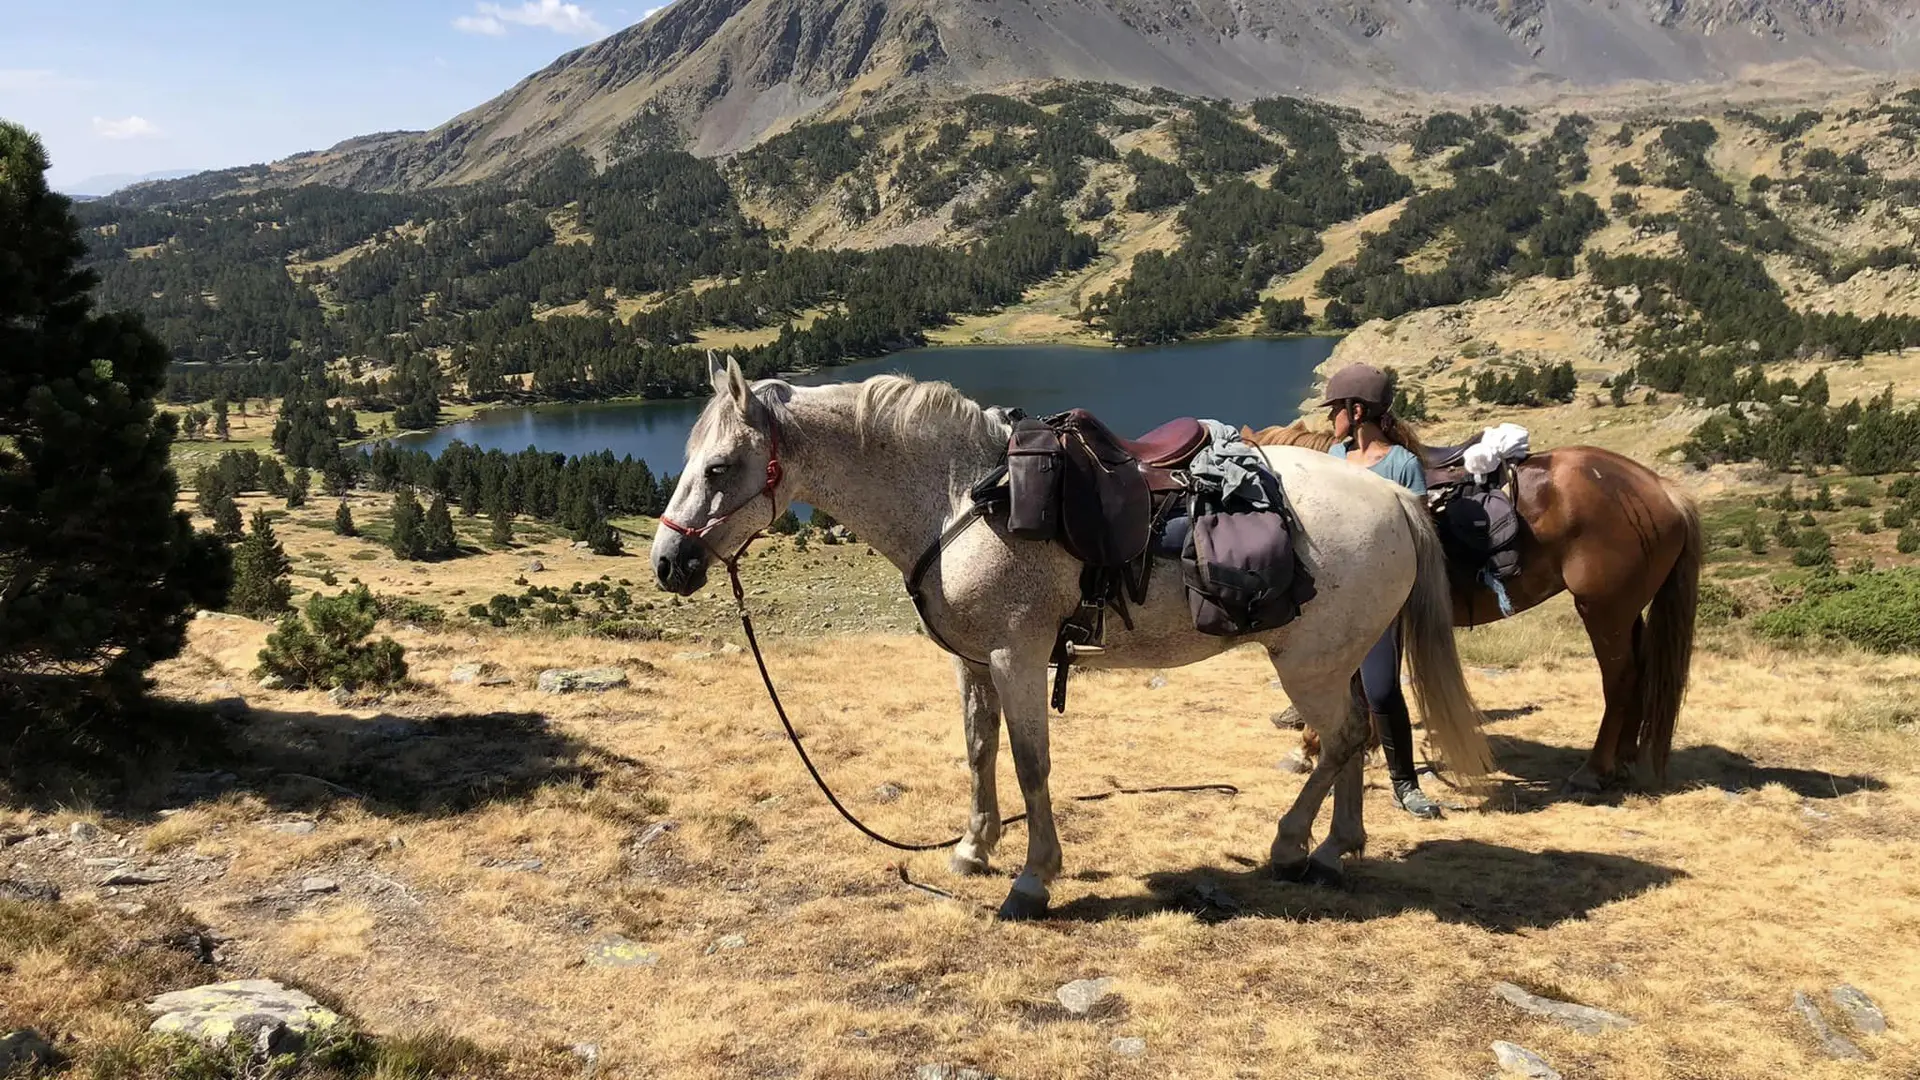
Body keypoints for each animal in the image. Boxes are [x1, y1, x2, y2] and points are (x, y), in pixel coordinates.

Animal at [652, 355, 1489, 914]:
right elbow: (978, 751)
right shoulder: (972, 663)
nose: (668, 563)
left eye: (720, 466)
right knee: (1359, 733)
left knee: (1344, 734)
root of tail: (1392, 495)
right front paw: (972, 849)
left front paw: (1031, 878)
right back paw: (1335, 848)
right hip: (1337, 655)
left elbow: (1031, 764)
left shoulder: (1016, 657)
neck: (960, 498)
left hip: (1308, 665)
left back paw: (1293, 845)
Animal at [1244, 420, 1712, 791]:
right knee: (1641, 672)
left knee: (1620, 679)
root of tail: (1663, 490)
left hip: (1602, 611)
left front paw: (1310, 748)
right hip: (1627, 611)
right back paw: (1626, 759)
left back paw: (1594, 770)